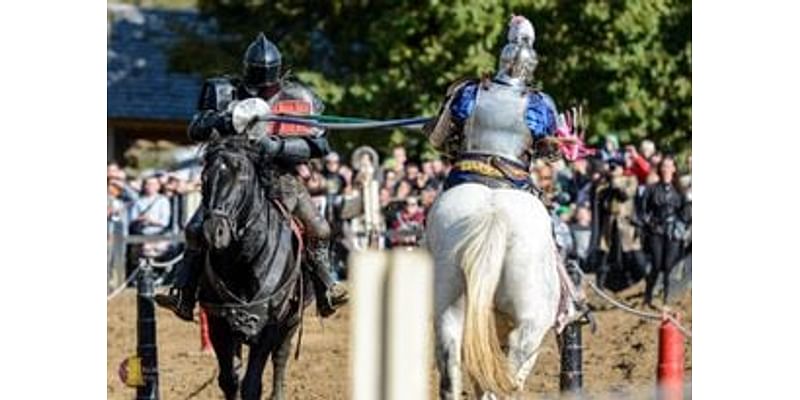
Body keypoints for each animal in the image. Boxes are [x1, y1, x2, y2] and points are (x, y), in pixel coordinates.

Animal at [198, 137, 310, 400]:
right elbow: (229, 379)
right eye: (204, 177)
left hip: (292, 320)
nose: (214, 232)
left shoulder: (270, 325)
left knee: (281, 357)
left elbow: (252, 384)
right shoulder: (220, 323)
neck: (244, 262)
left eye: (243, 177)